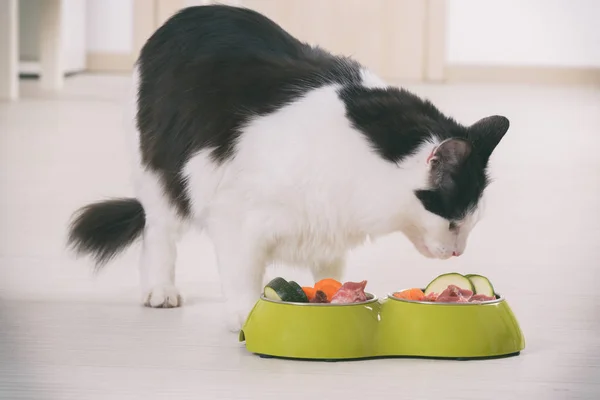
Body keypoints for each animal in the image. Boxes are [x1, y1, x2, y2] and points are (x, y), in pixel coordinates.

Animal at [69, 4, 510, 332]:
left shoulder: (329, 228)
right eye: (453, 223)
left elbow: (328, 275)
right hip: (160, 174)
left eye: (470, 223)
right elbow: (242, 274)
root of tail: (188, 13)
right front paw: (246, 317)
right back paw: (160, 290)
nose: (457, 253)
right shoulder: (235, 216)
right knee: (158, 231)